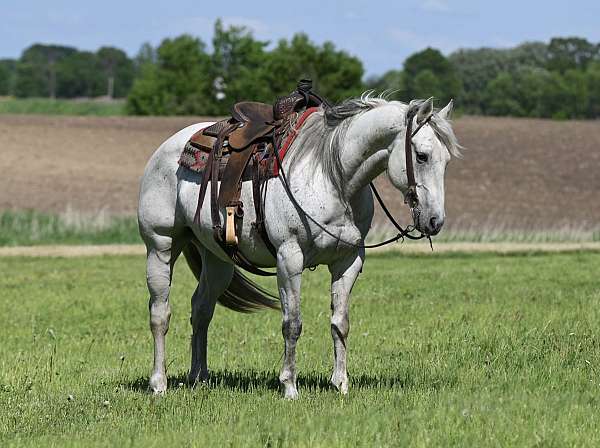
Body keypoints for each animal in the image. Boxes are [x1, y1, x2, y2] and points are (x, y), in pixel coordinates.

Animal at [138, 94, 462, 400]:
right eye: (421, 156)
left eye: (447, 161)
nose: (435, 221)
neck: (332, 177)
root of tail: (166, 149)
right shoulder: (289, 258)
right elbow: (292, 323)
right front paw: (289, 386)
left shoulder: (348, 261)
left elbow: (340, 323)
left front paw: (341, 384)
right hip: (161, 246)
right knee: (160, 314)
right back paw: (159, 383)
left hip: (217, 259)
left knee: (201, 310)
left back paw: (199, 378)